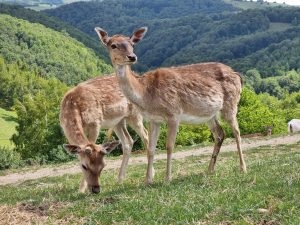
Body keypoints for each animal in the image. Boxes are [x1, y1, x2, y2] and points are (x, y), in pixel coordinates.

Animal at [95, 26, 247, 185]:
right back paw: (209, 169)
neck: (147, 94)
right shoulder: (153, 119)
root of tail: (238, 75)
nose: (132, 57)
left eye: (132, 44)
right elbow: (151, 148)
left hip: (231, 103)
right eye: (113, 45)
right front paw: (148, 180)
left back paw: (242, 168)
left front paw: (167, 178)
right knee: (220, 134)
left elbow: (169, 146)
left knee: (236, 131)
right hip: (210, 115)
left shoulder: (173, 113)